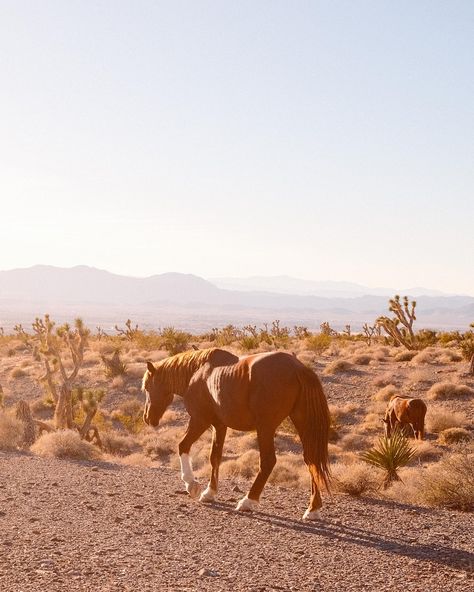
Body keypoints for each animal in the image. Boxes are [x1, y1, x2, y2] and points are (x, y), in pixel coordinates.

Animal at [143, 346, 332, 520]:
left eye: (146, 387)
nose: (147, 418)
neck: (197, 372)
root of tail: (298, 368)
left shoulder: (200, 420)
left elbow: (183, 445)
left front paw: (191, 484)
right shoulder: (219, 425)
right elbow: (215, 457)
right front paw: (209, 493)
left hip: (265, 428)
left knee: (269, 461)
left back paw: (248, 501)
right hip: (302, 424)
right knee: (311, 461)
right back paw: (312, 509)